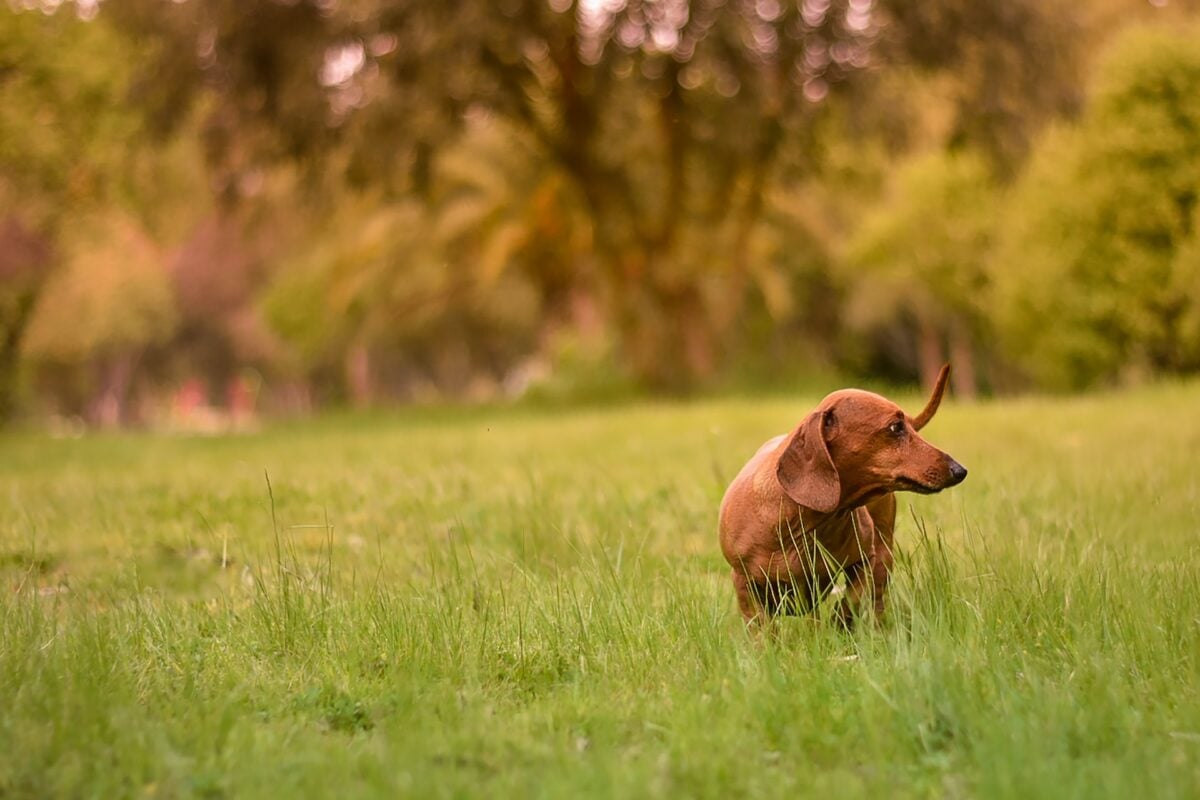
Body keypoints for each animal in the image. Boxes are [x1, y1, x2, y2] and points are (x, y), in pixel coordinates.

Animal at [720, 367, 964, 628]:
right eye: (896, 427)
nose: (960, 470)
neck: (800, 524)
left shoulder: (866, 561)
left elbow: (852, 600)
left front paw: (840, 623)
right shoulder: (743, 581)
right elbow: (762, 627)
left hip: (884, 551)